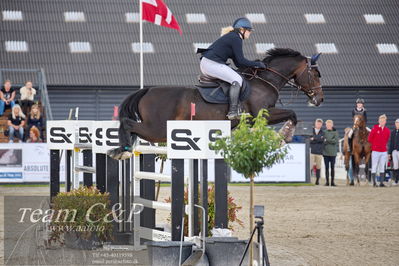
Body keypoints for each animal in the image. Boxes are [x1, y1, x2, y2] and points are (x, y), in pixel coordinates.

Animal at [108, 48, 324, 160]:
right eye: (315, 74)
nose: (320, 99)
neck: (265, 80)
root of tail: (148, 90)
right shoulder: (264, 114)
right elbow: (292, 113)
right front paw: (283, 137)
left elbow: (292, 114)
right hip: (158, 129)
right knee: (128, 124)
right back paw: (122, 151)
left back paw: (120, 150)